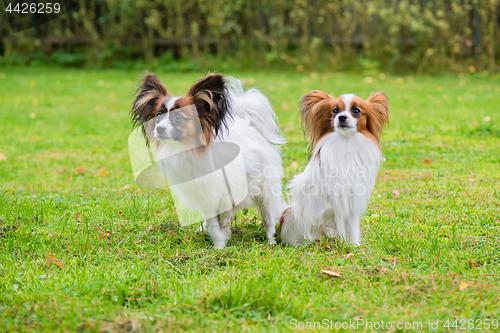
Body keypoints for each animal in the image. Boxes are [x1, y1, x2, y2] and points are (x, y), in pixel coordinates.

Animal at [132, 73, 286, 249]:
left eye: (179, 117)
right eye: (158, 115)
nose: (159, 128)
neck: (191, 150)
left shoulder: (246, 173)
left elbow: (228, 197)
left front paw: (225, 222)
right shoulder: (205, 195)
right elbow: (214, 225)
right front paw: (219, 248)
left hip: (266, 190)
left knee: (269, 217)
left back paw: (271, 241)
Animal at [278, 89, 390, 245]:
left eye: (356, 110)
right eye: (335, 111)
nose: (341, 117)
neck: (346, 142)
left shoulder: (352, 200)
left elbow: (352, 226)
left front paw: (354, 245)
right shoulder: (338, 198)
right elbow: (340, 222)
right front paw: (344, 243)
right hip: (291, 214)